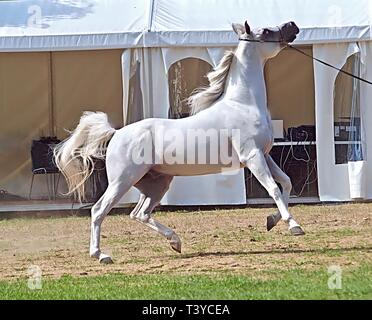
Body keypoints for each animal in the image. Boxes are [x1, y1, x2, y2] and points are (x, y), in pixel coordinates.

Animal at [55, 20, 306, 264]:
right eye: (265, 31)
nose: (293, 25)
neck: (243, 104)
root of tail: (115, 134)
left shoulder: (265, 155)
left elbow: (286, 183)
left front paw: (272, 220)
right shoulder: (252, 156)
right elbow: (273, 189)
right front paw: (294, 226)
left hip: (156, 184)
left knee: (140, 213)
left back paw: (175, 242)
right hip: (123, 181)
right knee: (99, 210)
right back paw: (100, 255)